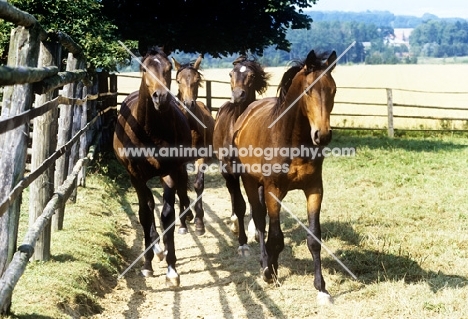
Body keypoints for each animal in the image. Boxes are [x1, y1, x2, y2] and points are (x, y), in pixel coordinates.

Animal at [113, 46, 194, 286]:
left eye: (168, 69)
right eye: (144, 68)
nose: (161, 97)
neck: (149, 131)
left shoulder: (171, 171)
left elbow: (167, 215)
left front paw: (172, 269)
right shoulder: (136, 177)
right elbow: (144, 214)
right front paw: (147, 264)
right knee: (148, 205)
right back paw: (155, 248)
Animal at [213, 57, 270, 258]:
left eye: (252, 75)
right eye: (231, 73)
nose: (238, 95)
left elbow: (257, 204)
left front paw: (257, 232)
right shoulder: (229, 170)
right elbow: (239, 204)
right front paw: (243, 244)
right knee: (233, 195)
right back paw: (235, 224)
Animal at [233, 50, 336, 304]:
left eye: (333, 90)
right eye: (308, 91)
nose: (322, 135)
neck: (292, 140)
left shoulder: (314, 189)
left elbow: (314, 238)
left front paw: (321, 288)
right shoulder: (274, 190)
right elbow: (275, 237)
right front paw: (269, 273)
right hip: (250, 182)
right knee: (260, 222)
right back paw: (265, 264)